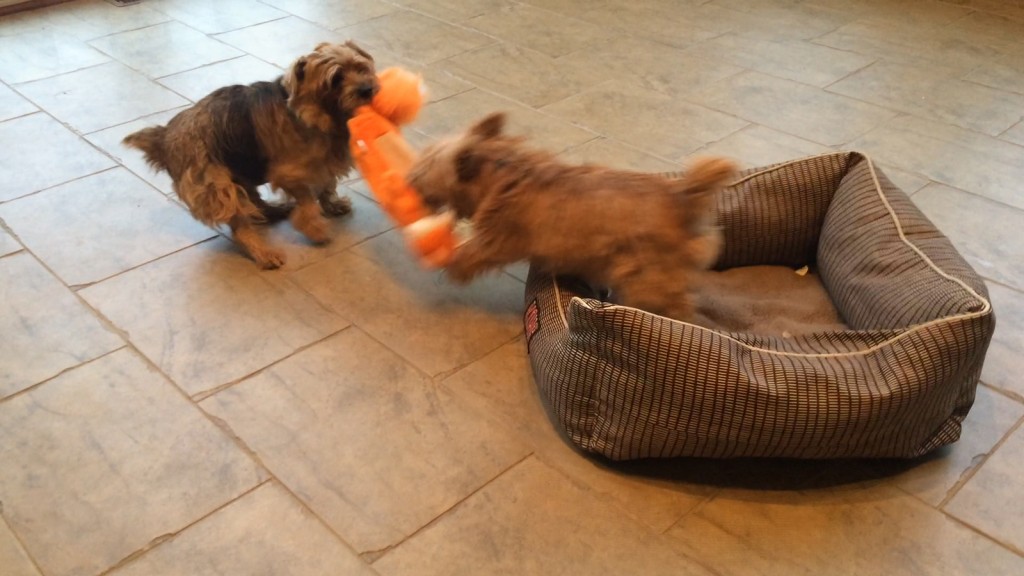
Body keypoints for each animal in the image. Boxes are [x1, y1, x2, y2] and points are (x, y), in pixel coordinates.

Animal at [123, 41, 378, 268]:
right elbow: (307, 200)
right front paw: (314, 228)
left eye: (361, 67)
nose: (368, 90)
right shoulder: (290, 174)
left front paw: (331, 204)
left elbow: (326, 184)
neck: (315, 113)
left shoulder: (324, 162)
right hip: (217, 184)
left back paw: (274, 210)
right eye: (335, 79)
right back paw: (263, 252)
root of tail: (164, 138)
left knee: (255, 201)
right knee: (239, 225)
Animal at [407, 111, 737, 317]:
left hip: (647, 279)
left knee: (677, 307)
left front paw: (451, 265)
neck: (501, 170)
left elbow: (471, 254)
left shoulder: (495, 240)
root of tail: (684, 196)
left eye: (424, 167)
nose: (408, 177)